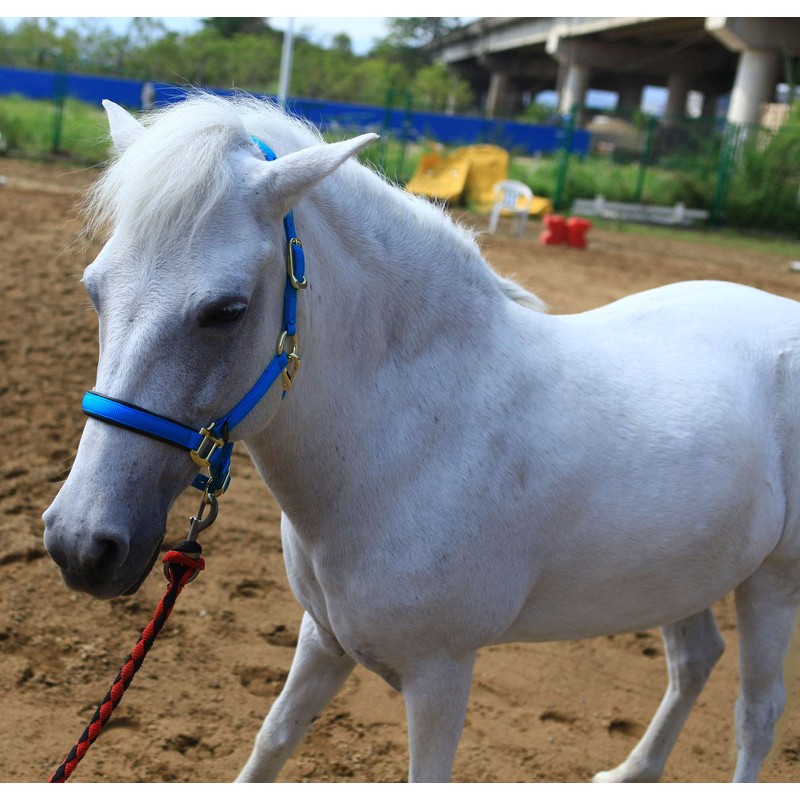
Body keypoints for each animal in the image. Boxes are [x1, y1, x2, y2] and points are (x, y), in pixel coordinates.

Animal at [42, 92, 800, 783]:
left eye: (226, 310)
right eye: (93, 290)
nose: (81, 544)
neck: (412, 439)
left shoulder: (440, 675)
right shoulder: (323, 640)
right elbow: (272, 742)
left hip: (770, 583)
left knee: (756, 716)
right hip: (686, 573)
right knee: (694, 662)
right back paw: (630, 773)